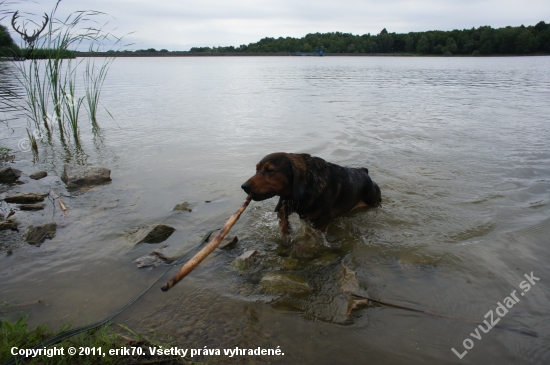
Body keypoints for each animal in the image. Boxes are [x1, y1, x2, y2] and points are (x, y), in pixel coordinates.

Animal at [244, 153, 382, 233]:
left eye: (269, 170)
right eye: (257, 169)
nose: (244, 186)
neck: (307, 186)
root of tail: (364, 171)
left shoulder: (324, 219)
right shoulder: (290, 203)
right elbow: (282, 216)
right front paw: (286, 231)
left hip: (372, 199)